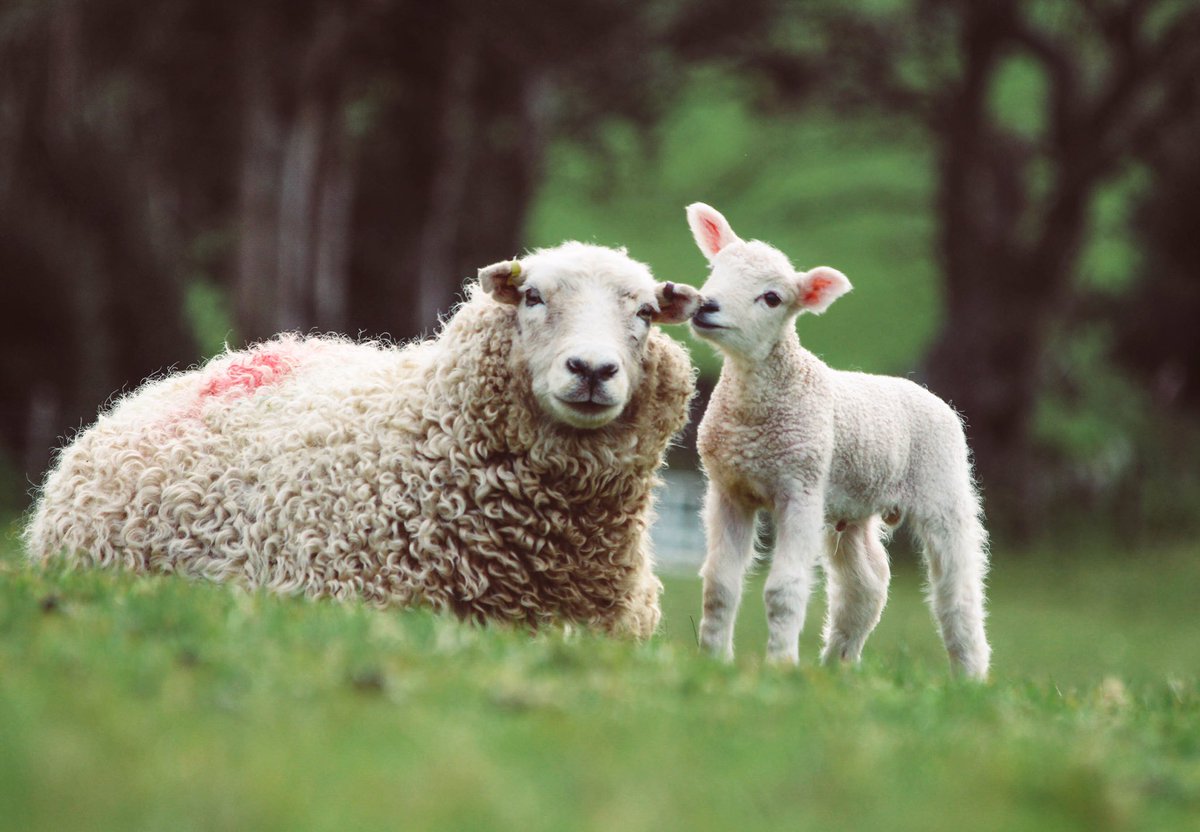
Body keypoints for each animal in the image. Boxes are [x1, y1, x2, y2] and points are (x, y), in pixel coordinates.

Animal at [681, 204, 988, 677]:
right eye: (715, 270)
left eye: (772, 298)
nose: (706, 306)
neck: (754, 415)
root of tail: (927, 392)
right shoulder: (729, 490)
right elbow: (719, 585)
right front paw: (714, 660)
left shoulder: (800, 490)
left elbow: (784, 590)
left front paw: (781, 665)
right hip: (853, 508)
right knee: (866, 584)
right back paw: (837, 666)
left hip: (944, 489)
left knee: (959, 592)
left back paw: (970, 677)